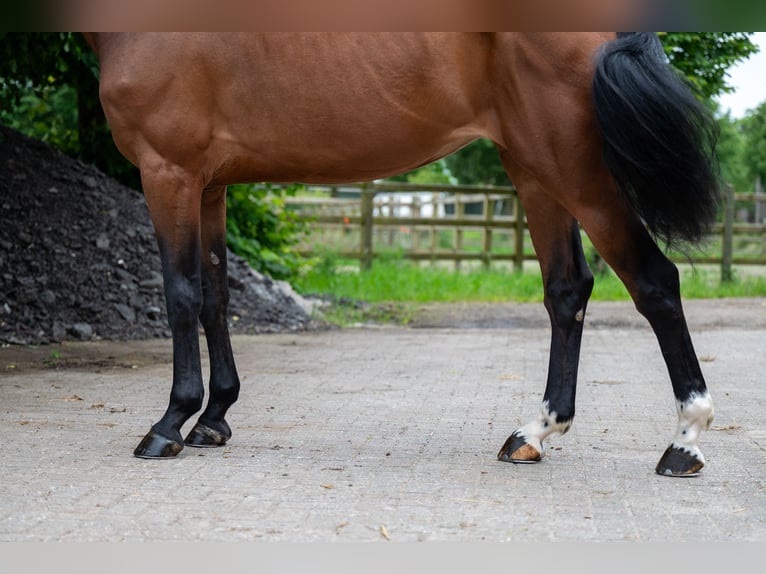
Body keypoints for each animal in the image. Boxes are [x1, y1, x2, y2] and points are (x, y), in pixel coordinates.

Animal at [82, 33, 720, 480]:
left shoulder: (169, 171)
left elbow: (181, 293)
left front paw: (171, 423)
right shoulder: (210, 185)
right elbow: (216, 297)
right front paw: (214, 419)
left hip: (573, 169)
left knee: (653, 281)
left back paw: (684, 442)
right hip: (535, 168)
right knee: (567, 290)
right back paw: (532, 434)